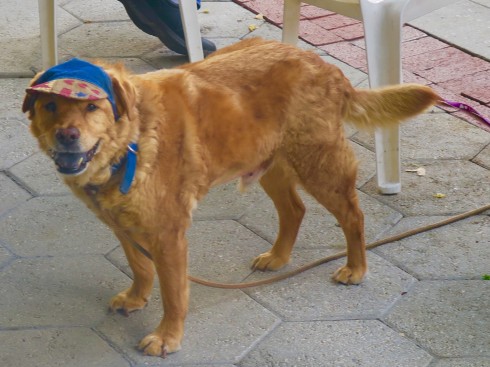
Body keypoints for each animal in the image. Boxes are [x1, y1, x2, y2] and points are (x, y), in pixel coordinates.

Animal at [23, 38, 438, 358]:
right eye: (50, 105)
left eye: (92, 106)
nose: (67, 136)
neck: (132, 141)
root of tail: (324, 66)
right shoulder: (124, 225)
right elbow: (140, 267)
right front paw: (137, 298)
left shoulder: (168, 234)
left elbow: (173, 293)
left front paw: (167, 336)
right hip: (270, 165)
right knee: (295, 210)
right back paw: (278, 257)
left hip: (319, 166)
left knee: (353, 216)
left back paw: (355, 267)